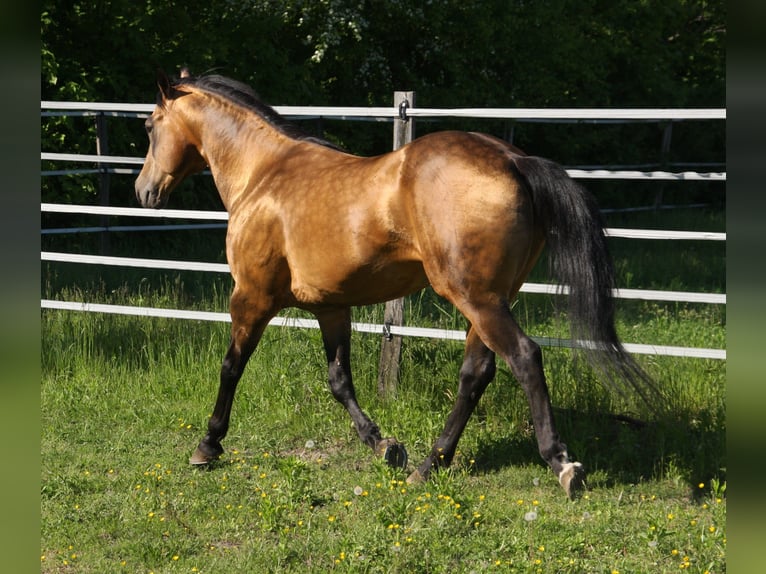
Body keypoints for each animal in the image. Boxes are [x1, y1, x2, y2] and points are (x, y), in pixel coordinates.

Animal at [135, 71, 655, 498]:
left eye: (150, 125)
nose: (144, 191)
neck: (264, 174)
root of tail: (513, 160)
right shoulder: (331, 307)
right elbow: (339, 380)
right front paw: (383, 445)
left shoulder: (251, 296)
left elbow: (231, 367)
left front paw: (208, 444)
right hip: (489, 299)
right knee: (477, 373)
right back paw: (428, 465)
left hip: (475, 298)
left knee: (524, 356)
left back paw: (562, 465)